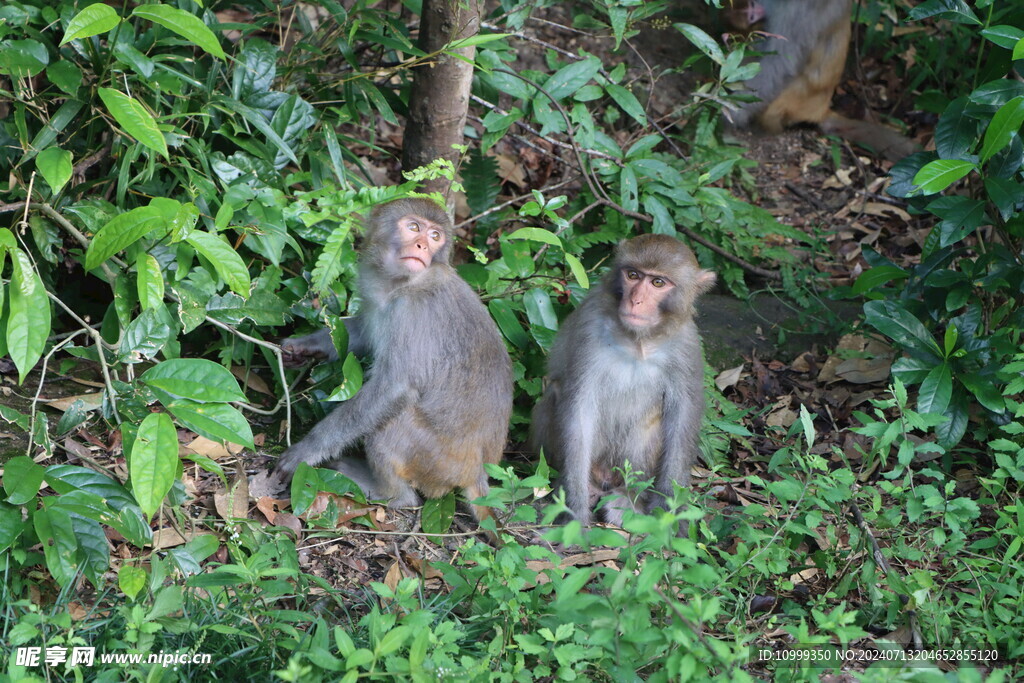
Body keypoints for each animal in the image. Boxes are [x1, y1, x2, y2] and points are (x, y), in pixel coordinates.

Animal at [272, 197, 512, 524]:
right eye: (413, 227)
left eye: (435, 236)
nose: (423, 245)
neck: (402, 284)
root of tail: (476, 472)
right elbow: (362, 332)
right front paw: (304, 346)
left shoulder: (413, 312)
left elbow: (393, 388)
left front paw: (307, 450)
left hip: (434, 459)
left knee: (391, 425)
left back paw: (391, 494)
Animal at [532, 235, 716, 528]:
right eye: (633, 275)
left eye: (658, 283)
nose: (635, 300)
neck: (638, 340)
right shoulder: (589, 327)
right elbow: (579, 408)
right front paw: (575, 511)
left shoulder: (685, 341)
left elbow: (682, 413)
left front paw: (672, 512)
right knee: (556, 392)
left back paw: (629, 497)